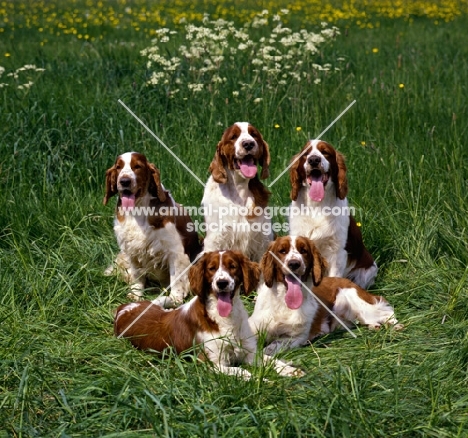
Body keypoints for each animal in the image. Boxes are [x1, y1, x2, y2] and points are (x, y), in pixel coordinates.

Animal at [103, 152, 200, 306]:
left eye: (137, 166)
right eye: (118, 167)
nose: (124, 181)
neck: (138, 211)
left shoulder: (176, 252)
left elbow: (177, 279)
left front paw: (175, 298)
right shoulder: (131, 250)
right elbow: (137, 275)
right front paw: (135, 295)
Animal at [114, 252, 304, 378]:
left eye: (232, 266)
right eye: (211, 269)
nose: (222, 283)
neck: (226, 319)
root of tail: (123, 308)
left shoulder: (249, 352)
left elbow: (271, 360)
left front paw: (290, 370)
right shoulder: (210, 362)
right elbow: (242, 371)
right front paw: (260, 379)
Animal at [202, 121, 274, 262]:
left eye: (254, 134)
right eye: (233, 137)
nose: (248, 144)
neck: (239, 189)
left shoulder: (262, 240)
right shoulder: (215, 239)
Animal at [249, 236, 402, 356]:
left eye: (304, 251)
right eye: (282, 251)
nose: (294, 264)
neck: (283, 302)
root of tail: (349, 281)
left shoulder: (297, 336)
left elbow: (272, 346)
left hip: (357, 302)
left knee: (385, 311)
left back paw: (395, 325)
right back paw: (374, 326)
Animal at [288, 139, 378, 290]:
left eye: (325, 152)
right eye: (306, 154)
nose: (314, 159)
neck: (317, 206)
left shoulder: (337, 253)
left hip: (368, 271)